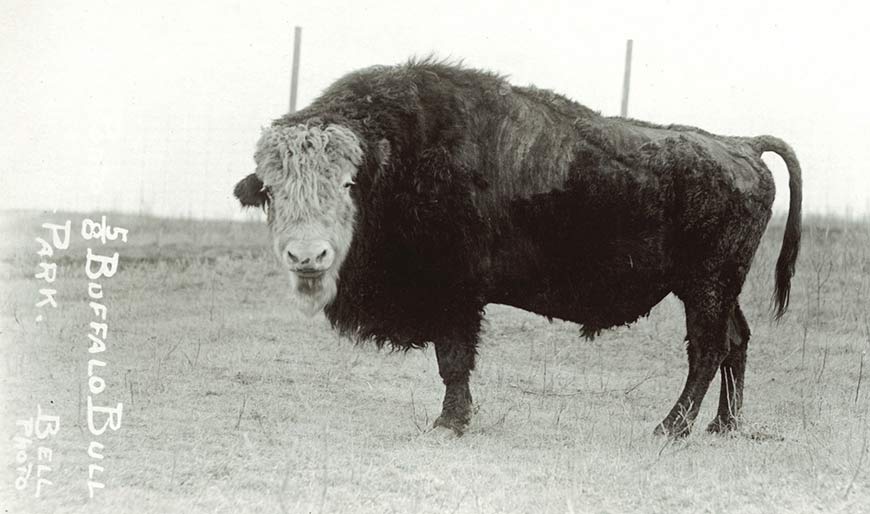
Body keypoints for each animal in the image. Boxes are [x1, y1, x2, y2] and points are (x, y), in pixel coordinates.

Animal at [233, 60, 804, 436]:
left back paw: (672, 428)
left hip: (705, 287)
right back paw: (723, 427)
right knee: (736, 341)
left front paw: (449, 423)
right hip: (717, 290)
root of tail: (742, 146)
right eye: (271, 191)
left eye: (349, 184)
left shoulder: (455, 296)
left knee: (707, 350)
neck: (396, 157)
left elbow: (453, 361)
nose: (307, 257)